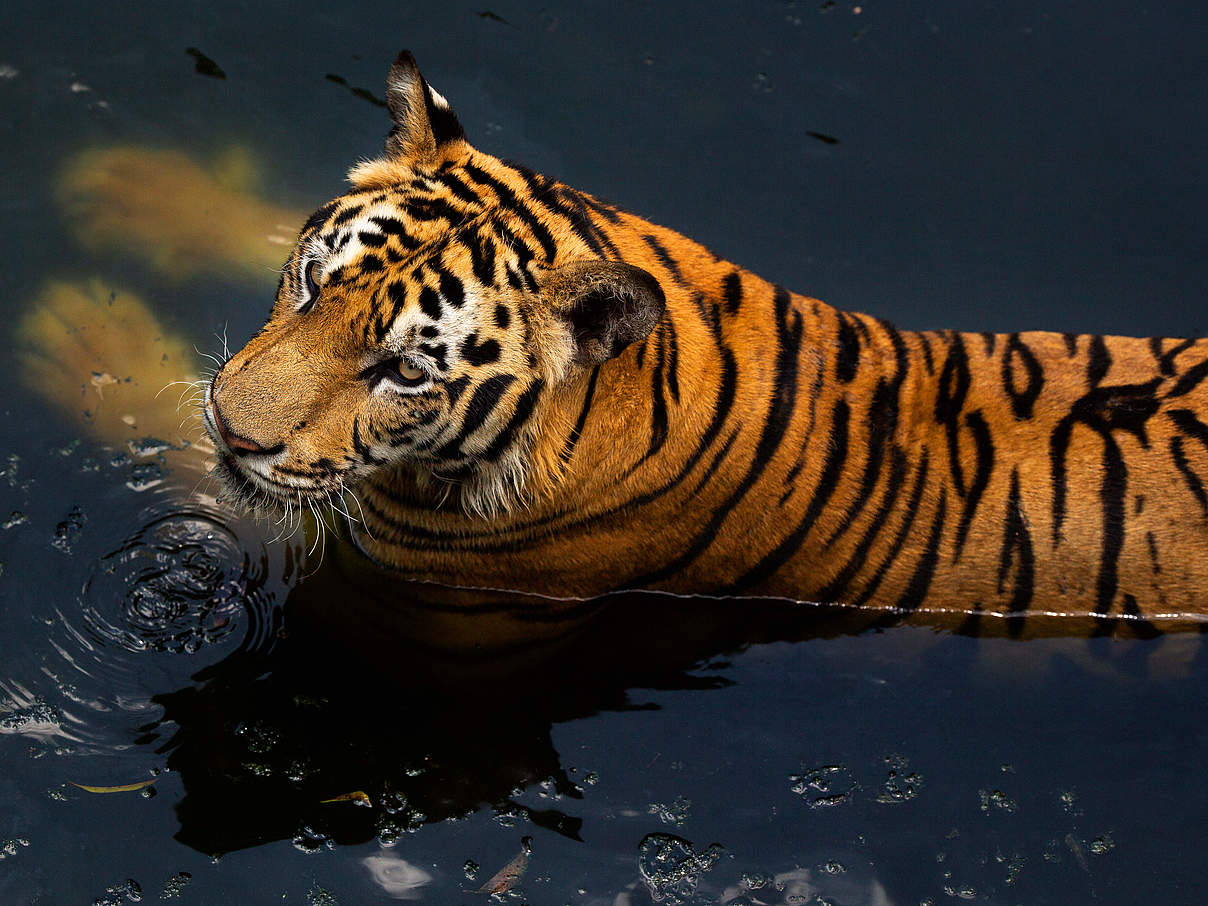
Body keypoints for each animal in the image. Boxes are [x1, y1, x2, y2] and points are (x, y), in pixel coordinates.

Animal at [21, 51, 1208, 647]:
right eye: (312, 280)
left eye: (405, 372)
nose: (236, 426)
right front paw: (130, 186)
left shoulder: (389, 560)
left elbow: (207, 476)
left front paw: (77, 331)